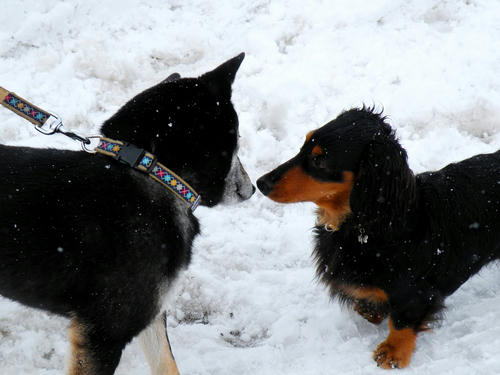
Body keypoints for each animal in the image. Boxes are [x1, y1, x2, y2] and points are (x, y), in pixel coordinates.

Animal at [0, 54, 252, 374]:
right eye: (236, 141)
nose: (251, 189)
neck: (150, 171)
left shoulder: (151, 312)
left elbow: (167, 364)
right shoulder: (104, 332)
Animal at [258, 106, 500, 370]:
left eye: (319, 160)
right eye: (304, 146)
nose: (260, 183)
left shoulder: (416, 292)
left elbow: (402, 321)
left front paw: (393, 352)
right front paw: (372, 308)